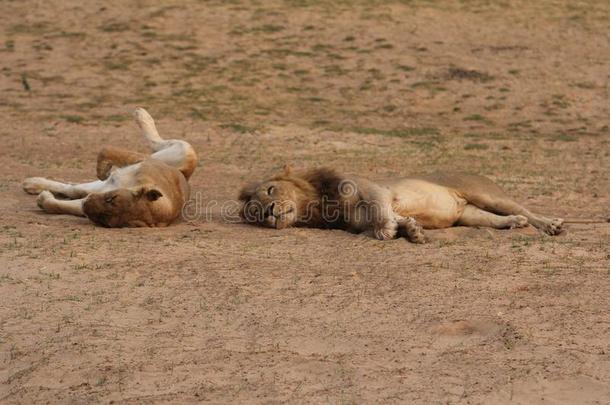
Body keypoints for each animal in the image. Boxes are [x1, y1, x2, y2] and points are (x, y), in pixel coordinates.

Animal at [21, 107, 196, 227]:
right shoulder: (140, 161)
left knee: (73, 189)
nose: (87, 203)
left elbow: (57, 204)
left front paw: (43, 199)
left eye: (104, 221)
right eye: (111, 198)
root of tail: (184, 176)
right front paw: (102, 170)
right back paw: (141, 114)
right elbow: (107, 150)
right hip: (185, 152)